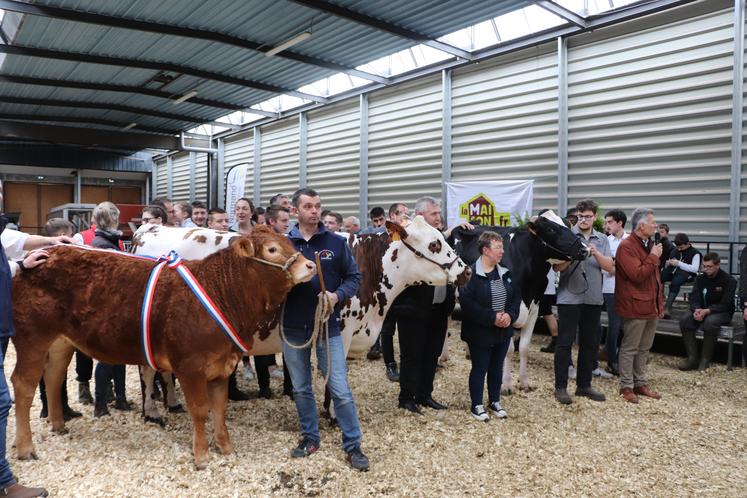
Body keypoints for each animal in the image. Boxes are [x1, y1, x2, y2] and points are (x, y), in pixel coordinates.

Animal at [11, 228, 316, 468]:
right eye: (272, 249)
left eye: (289, 243)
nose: (310, 265)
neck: (220, 291)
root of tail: (45, 253)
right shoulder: (190, 366)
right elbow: (200, 409)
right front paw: (201, 456)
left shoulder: (222, 364)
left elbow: (220, 408)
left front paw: (226, 448)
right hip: (31, 338)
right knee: (23, 385)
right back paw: (26, 448)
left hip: (61, 342)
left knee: (53, 376)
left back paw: (59, 425)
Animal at [450, 209, 592, 392]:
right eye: (551, 229)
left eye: (568, 225)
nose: (585, 250)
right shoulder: (506, 309)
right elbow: (509, 349)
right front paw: (506, 385)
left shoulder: (534, 308)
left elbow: (524, 347)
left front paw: (524, 382)